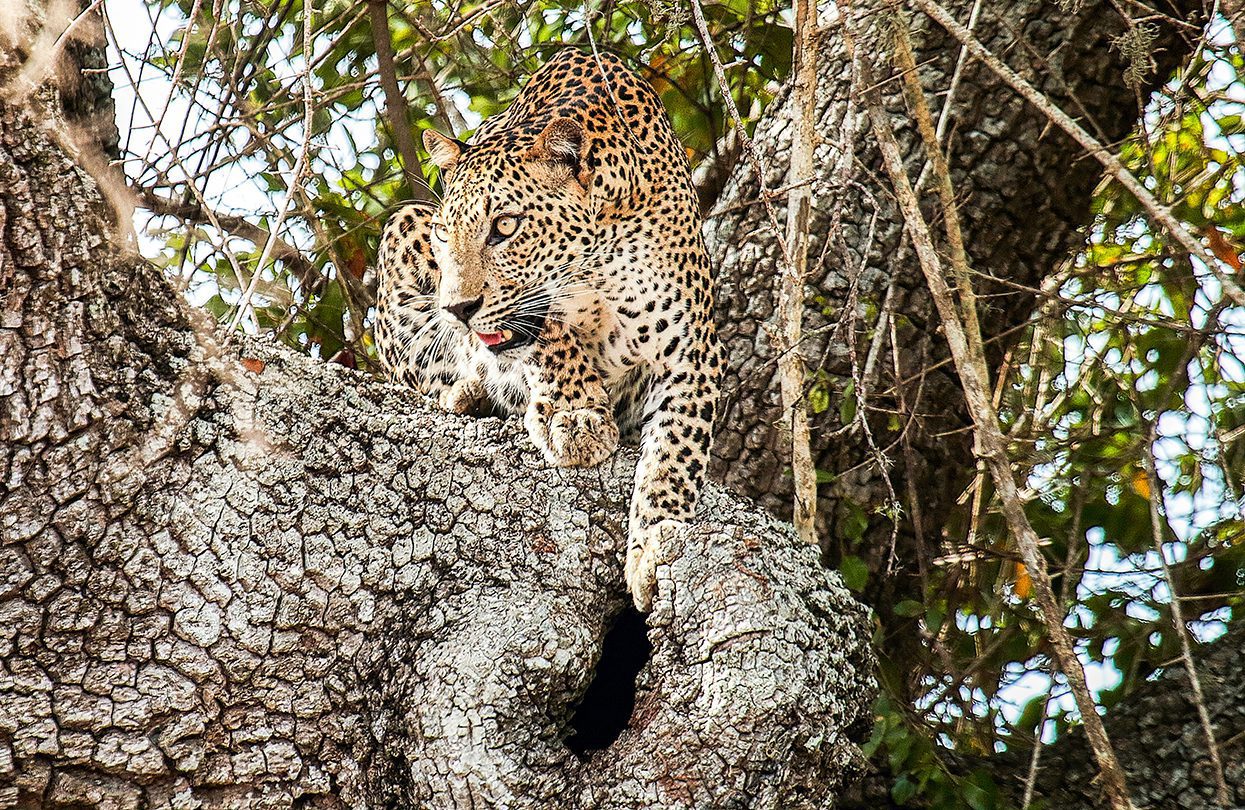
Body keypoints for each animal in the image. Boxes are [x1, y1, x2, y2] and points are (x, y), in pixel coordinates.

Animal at [371, 47, 722, 612]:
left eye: (505, 226)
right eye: (447, 234)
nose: (458, 308)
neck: (599, 267)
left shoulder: (692, 352)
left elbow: (675, 453)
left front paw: (653, 545)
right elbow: (548, 339)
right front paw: (575, 417)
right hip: (402, 232)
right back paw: (468, 391)